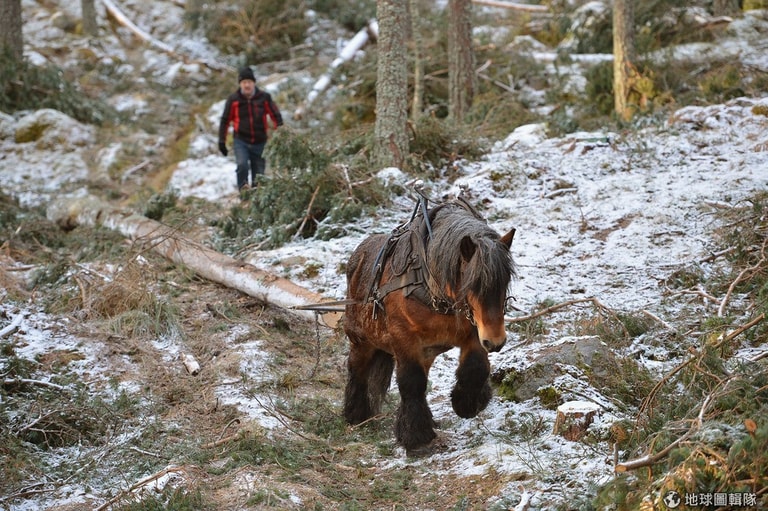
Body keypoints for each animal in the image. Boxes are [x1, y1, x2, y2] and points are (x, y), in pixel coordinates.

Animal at [344, 194, 516, 454]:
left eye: (505, 281)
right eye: (473, 284)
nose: (496, 341)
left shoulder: (474, 331)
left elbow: (475, 366)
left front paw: (468, 402)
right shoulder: (403, 340)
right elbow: (411, 382)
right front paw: (416, 435)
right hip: (362, 341)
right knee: (357, 370)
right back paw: (356, 414)